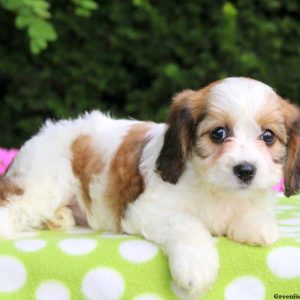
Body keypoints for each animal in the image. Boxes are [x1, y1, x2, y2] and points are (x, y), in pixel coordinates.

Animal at [0, 77, 300, 298]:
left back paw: (59, 218)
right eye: (219, 134)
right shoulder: (147, 209)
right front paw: (196, 266)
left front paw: (254, 224)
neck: (215, 190)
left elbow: (254, 213)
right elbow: (188, 223)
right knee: (18, 203)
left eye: (268, 137)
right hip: (44, 181)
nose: (246, 170)